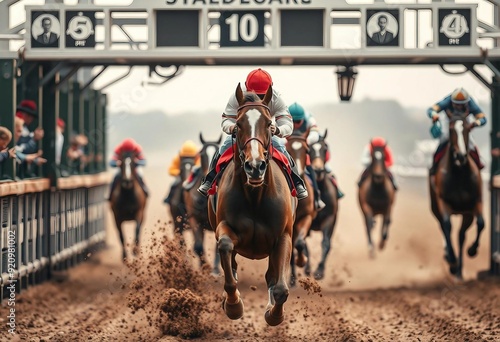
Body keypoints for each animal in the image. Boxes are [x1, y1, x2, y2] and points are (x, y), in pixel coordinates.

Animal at [208, 85, 296, 326]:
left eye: (268, 123)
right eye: (238, 124)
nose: (255, 166)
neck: (255, 196)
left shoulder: (284, 236)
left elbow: (281, 288)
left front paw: (274, 314)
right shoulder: (224, 228)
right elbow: (226, 248)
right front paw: (233, 304)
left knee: (272, 276)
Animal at [430, 113, 484, 280]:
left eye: (468, 128)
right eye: (451, 129)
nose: (460, 156)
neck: (459, 174)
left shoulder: (475, 203)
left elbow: (481, 223)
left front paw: (472, 250)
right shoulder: (444, 202)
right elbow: (447, 225)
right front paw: (452, 259)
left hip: (466, 214)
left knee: (461, 236)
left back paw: (459, 272)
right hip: (435, 207)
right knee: (443, 226)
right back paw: (451, 261)